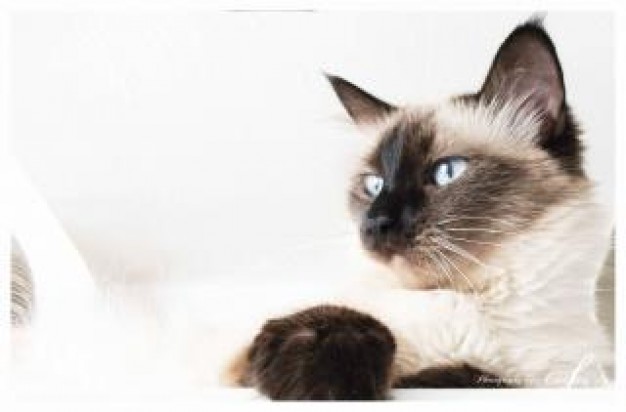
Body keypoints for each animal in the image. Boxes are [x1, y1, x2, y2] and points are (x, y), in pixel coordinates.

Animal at [222, 18, 612, 400]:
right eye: (374, 185)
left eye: (447, 172)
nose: (375, 223)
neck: (461, 302)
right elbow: (342, 319)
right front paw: (323, 370)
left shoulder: (557, 379)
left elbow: (467, 374)